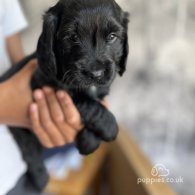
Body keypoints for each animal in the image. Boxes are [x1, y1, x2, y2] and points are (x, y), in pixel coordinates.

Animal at [0, 0, 129, 190]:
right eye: (72, 37)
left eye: (112, 37)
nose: (96, 74)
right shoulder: (42, 82)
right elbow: (86, 103)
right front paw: (109, 127)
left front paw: (87, 141)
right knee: (29, 149)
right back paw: (40, 178)